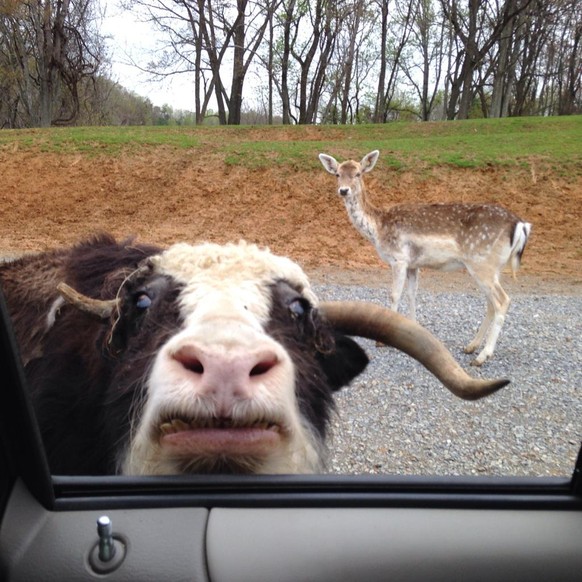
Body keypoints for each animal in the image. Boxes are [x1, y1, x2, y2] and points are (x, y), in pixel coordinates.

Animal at [320, 153, 532, 368]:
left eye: (358, 173)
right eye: (337, 174)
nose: (343, 190)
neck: (378, 229)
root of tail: (520, 225)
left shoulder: (398, 258)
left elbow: (394, 295)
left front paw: (381, 341)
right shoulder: (413, 264)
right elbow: (412, 294)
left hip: (482, 264)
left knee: (503, 300)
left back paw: (482, 356)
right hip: (491, 267)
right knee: (491, 303)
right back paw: (471, 346)